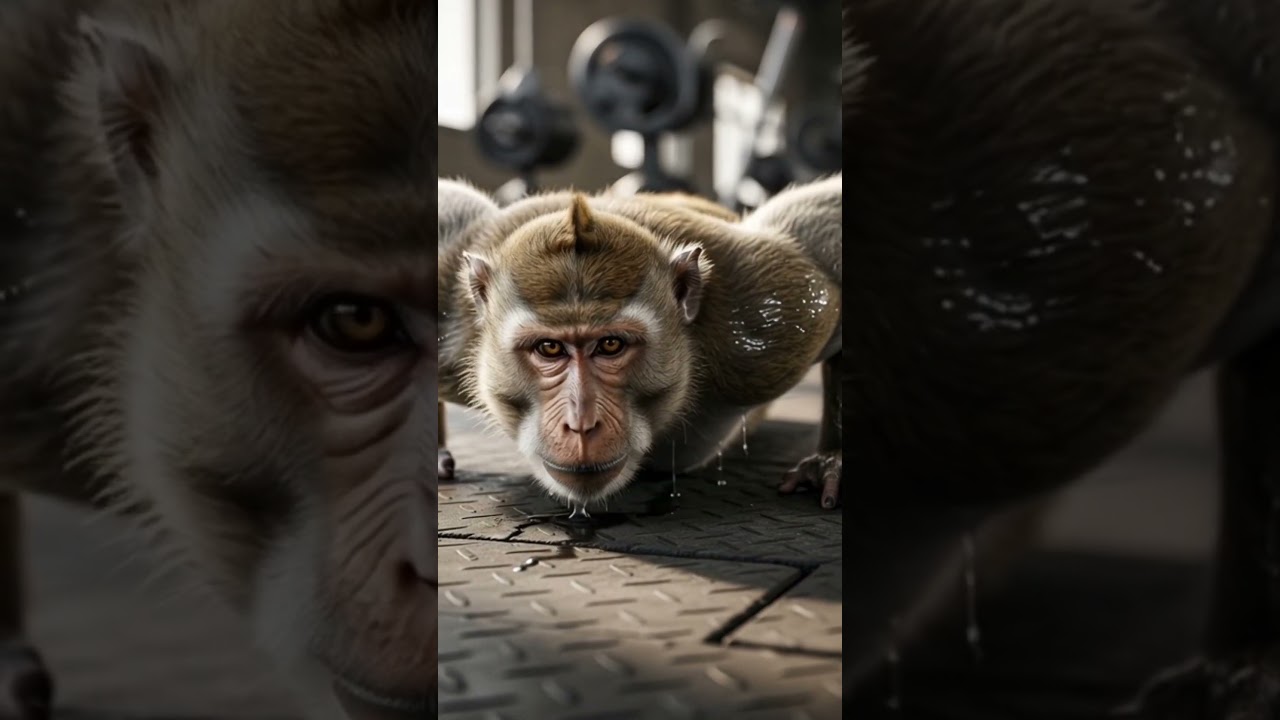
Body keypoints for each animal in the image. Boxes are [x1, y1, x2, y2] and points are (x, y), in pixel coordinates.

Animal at [435, 175, 843, 510]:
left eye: (611, 345)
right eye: (549, 348)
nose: (581, 425)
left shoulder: (768, 326)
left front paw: (832, 462)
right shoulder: (450, 316)